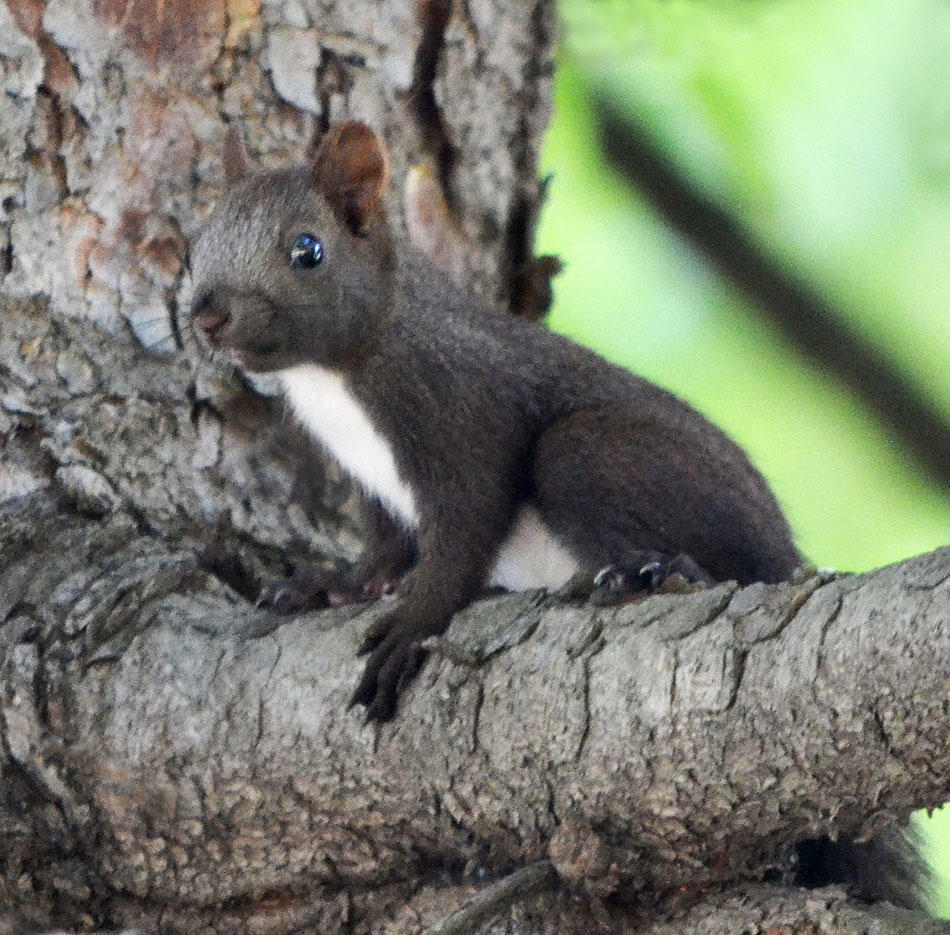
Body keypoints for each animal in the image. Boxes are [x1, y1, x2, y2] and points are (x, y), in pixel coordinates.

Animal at [189, 120, 800, 722]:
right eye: (197, 245)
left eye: (308, 250)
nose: (207, 317)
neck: (331, 375)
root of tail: (788, 555)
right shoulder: (369, 479)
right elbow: (384, 548)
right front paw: (331, 585)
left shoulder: (459, 411)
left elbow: (464, 533)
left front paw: (413, 625)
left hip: (605, 458)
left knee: (715, 564)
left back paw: (651, 572)